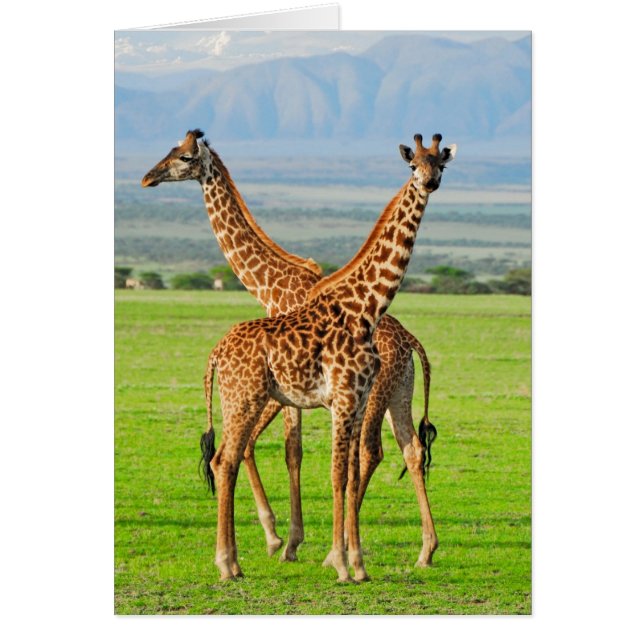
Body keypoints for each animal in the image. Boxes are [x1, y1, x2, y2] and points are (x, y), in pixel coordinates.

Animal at [157, 132, 454, 582]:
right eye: (412, 165)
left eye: (185, 156)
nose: (148, 177)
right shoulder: (317, 399)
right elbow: (301, 458)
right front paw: (310, 549)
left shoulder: (335, 399)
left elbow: (327, 467)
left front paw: (317, 550)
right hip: (355, 396)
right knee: (227, 458)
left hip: (385, 394)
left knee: (386, 452)